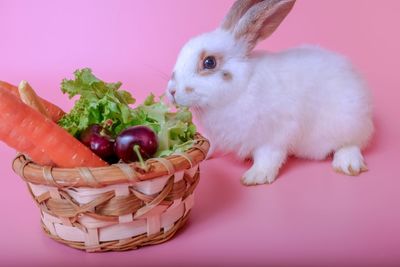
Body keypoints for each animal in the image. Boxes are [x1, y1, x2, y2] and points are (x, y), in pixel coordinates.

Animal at [166, 0, 372, 186]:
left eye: (209, 62)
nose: (172, 91)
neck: (241, 89)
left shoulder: (275, 135)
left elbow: (268, 157)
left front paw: (255, 177)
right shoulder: (217, 136)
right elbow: (211, 145)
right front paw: (201, 154)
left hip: (347, 122)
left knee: (352, 143)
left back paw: (347, 164)